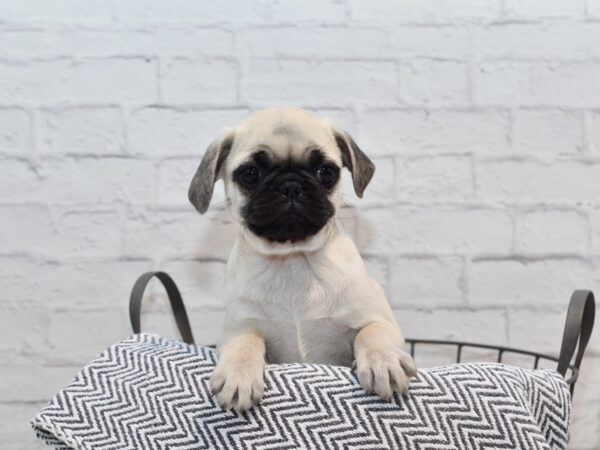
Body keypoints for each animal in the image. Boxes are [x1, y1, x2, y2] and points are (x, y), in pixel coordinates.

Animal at [190, 106, 414, 412]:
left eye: (326, 172)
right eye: (250, 174)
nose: (291, 185)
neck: (292, 260)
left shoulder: (380, 321)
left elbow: (373, 333)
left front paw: (385, 361)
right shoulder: (238, 327)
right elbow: (244, 340)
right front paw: (238, 373)